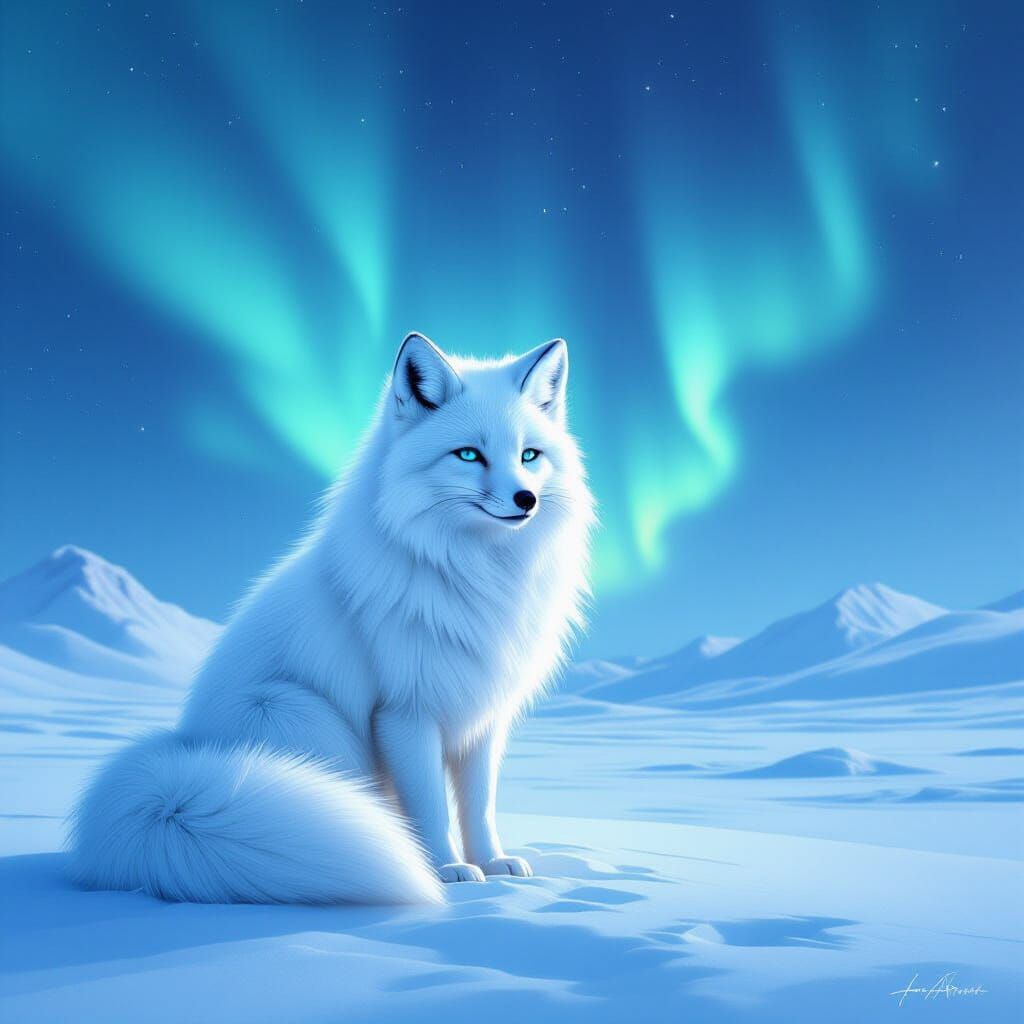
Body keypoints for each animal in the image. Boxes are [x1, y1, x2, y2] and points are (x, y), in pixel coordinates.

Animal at [69, 333, 594, 904]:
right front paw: (447, 870)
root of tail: (183, 760)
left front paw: (494, 865)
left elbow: (479, 805)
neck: (476, 572)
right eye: (469, 454)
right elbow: (430, 806)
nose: (526, 499)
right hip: (301, 714)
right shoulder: (405, 711)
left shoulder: (481, 714)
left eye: (529, 455)